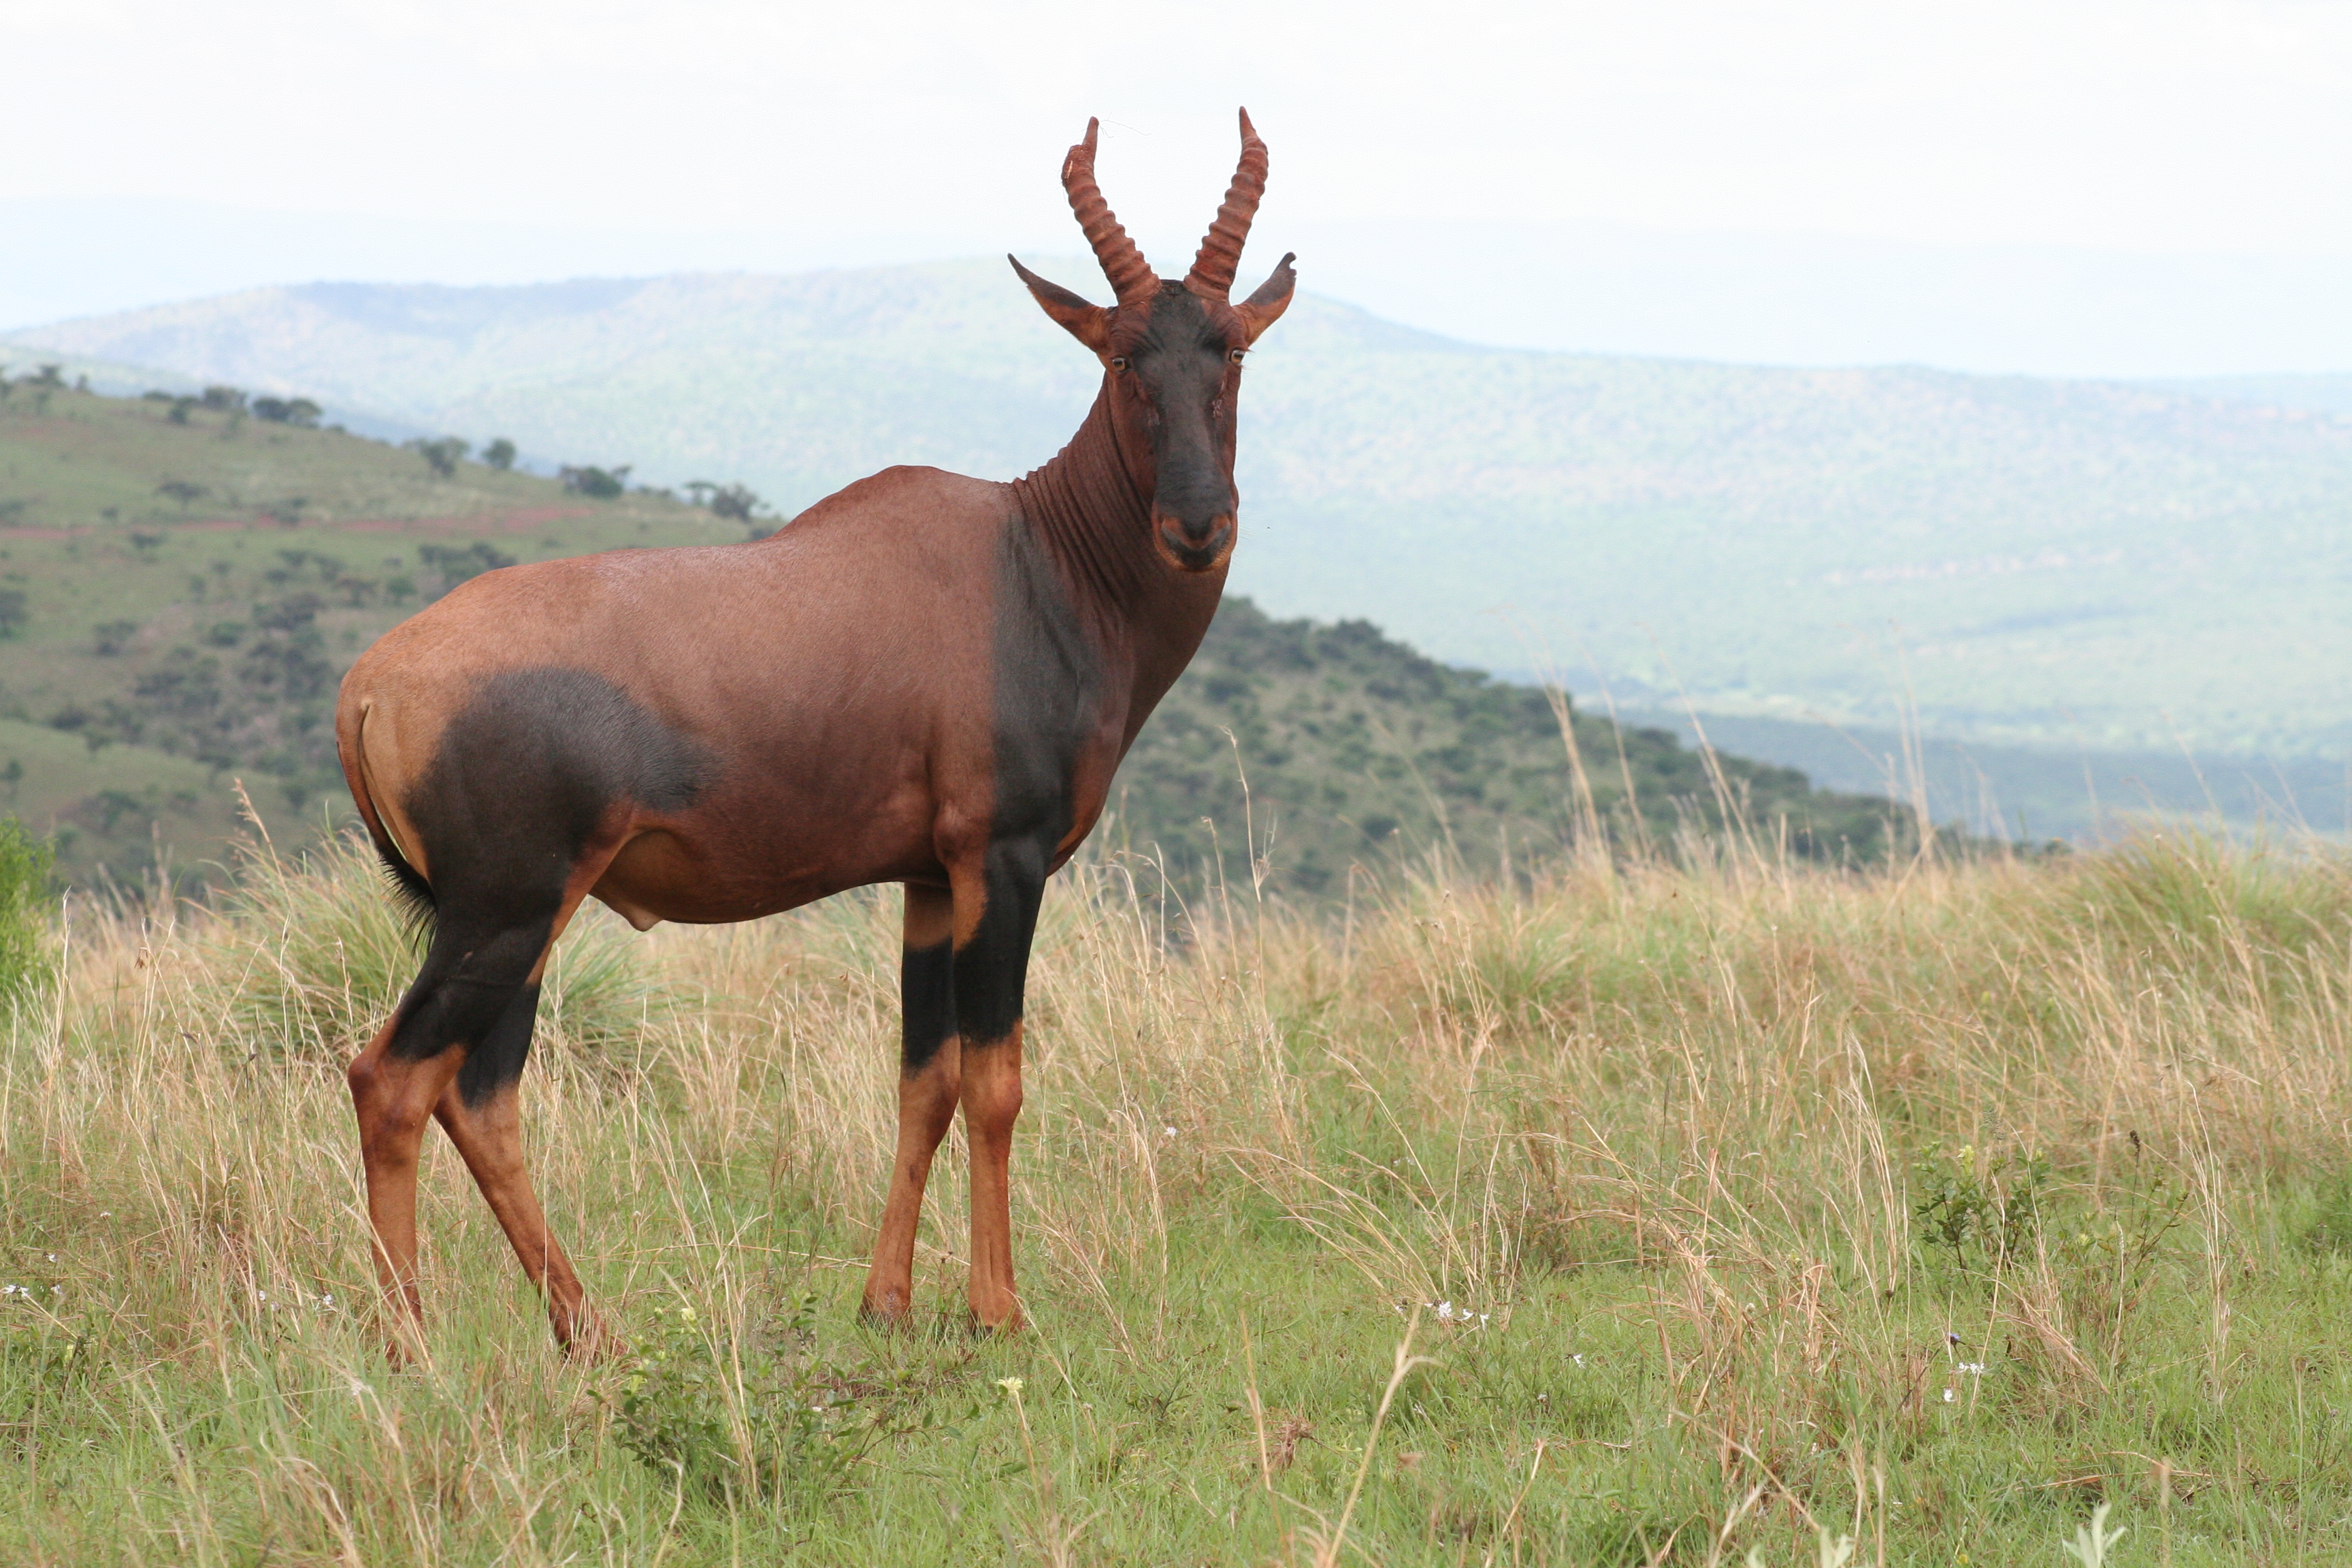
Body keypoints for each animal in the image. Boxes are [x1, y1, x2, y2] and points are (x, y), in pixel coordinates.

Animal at [331, 113, 1298, 1363]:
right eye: (1122, 356)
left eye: (1230, 349)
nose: (1196, 525)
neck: (1031, 553)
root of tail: (371, 684)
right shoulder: (1004, 861)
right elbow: (997, 1080)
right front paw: (998, 1310)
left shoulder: (930, 880)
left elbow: (924, 1081)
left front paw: (886, 1301)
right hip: (505, 908)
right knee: (394, 1079)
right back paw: (411, 1348)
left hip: (517, 922)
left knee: (479, 1096)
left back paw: (591, 1333)